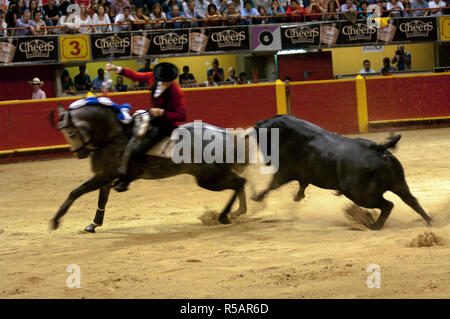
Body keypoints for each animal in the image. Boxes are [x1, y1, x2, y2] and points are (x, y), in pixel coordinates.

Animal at [50, 102, 250, 232]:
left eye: (71, 132)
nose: (79, 154)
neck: (113, 136)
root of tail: (224, 134)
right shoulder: (105, 177)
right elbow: (101, 200)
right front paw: (94, 224)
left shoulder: (104, 175)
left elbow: (76, 191)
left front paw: (55, 221)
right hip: (213, 176)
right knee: (240, 182)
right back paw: (235, 213)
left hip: (209, 179)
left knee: (239, 182)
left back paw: (225, 215)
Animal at [253, 115, 432, 230]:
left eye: (261, 138)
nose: (267, 161)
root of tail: (379, 149)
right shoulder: (300, 175)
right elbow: (300, 185)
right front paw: (298, 196)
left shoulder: (285, 171)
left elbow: (273, 184)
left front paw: (256, 197)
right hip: (398, 184)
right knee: (411, 200)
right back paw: (430, 221)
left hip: (358, 194)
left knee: (388, 205)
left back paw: (374, 226)